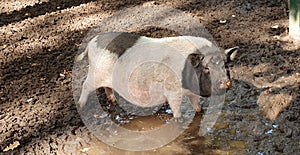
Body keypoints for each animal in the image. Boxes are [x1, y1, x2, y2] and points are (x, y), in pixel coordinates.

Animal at [75, 32, 237, 118]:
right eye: (206, 68)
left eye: (225, 66)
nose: (225, 82)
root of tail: (92, 42)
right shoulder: (173, 92)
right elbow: (177, 112)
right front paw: (178, 119)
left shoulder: (191, 93)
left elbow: (197, 107)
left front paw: (199, 112)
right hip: (95, 73)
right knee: (85, 85)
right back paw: (81, 106)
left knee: (107, 88)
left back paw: (113, 101)